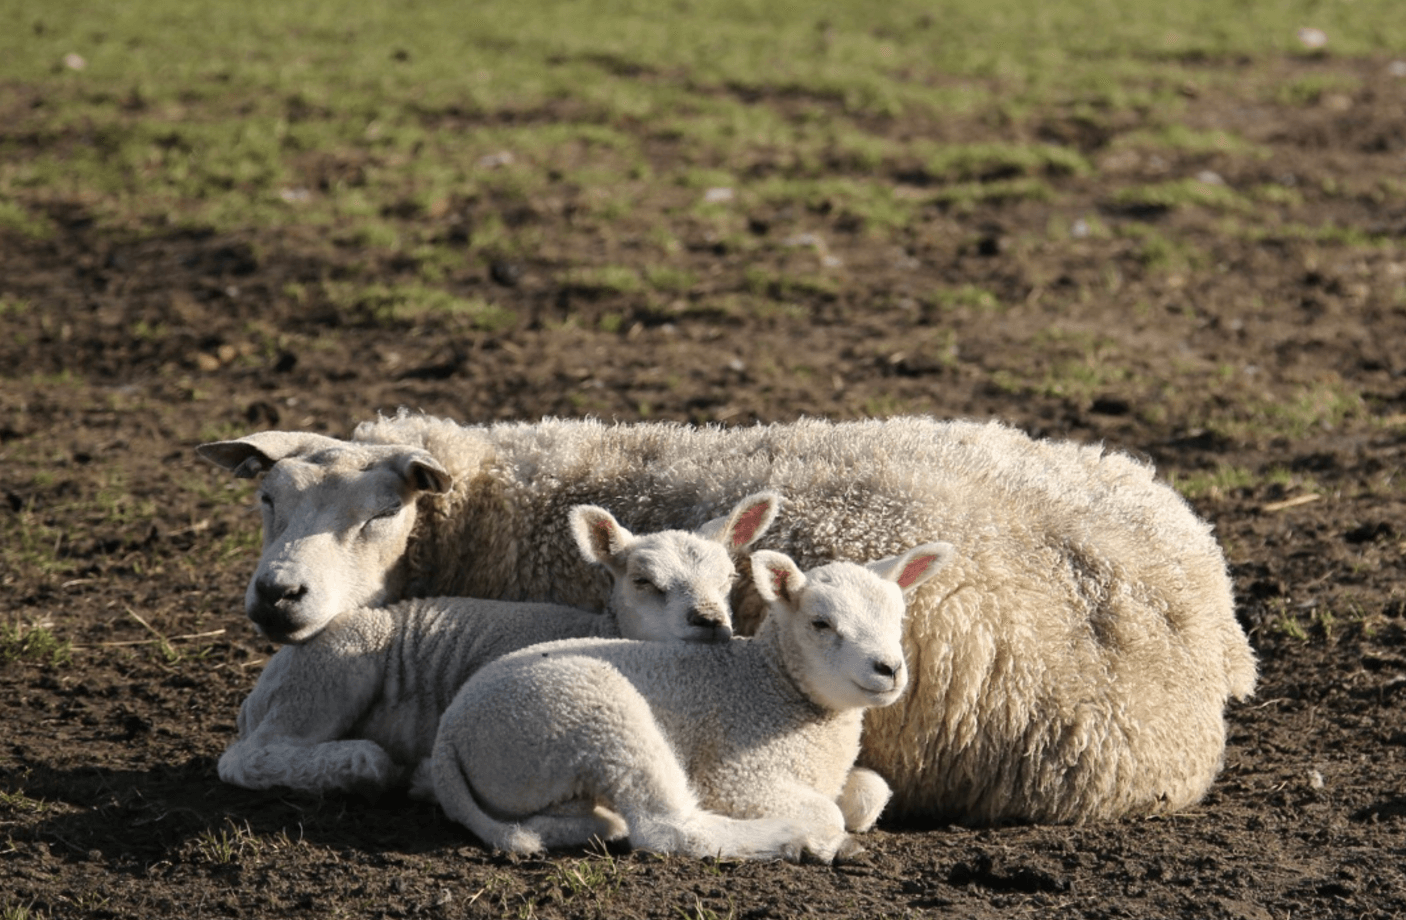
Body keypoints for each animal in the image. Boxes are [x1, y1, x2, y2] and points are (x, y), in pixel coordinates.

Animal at [216, 495, 781, 799]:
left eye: (730, 579)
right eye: (644, 582)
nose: (710, 622)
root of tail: (260, 688)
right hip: (329, 673)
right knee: (248, 757)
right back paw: (361, 765)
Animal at [430, 540, 956, 866]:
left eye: (899, 617)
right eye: (820, 624)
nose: (889, 669)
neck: (772, 684)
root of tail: (449, 732)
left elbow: (871, 795)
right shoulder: (735, 778)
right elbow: (831, 812)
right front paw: (818, 831)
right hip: (592, 709)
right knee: (667, 829)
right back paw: (796, 841)